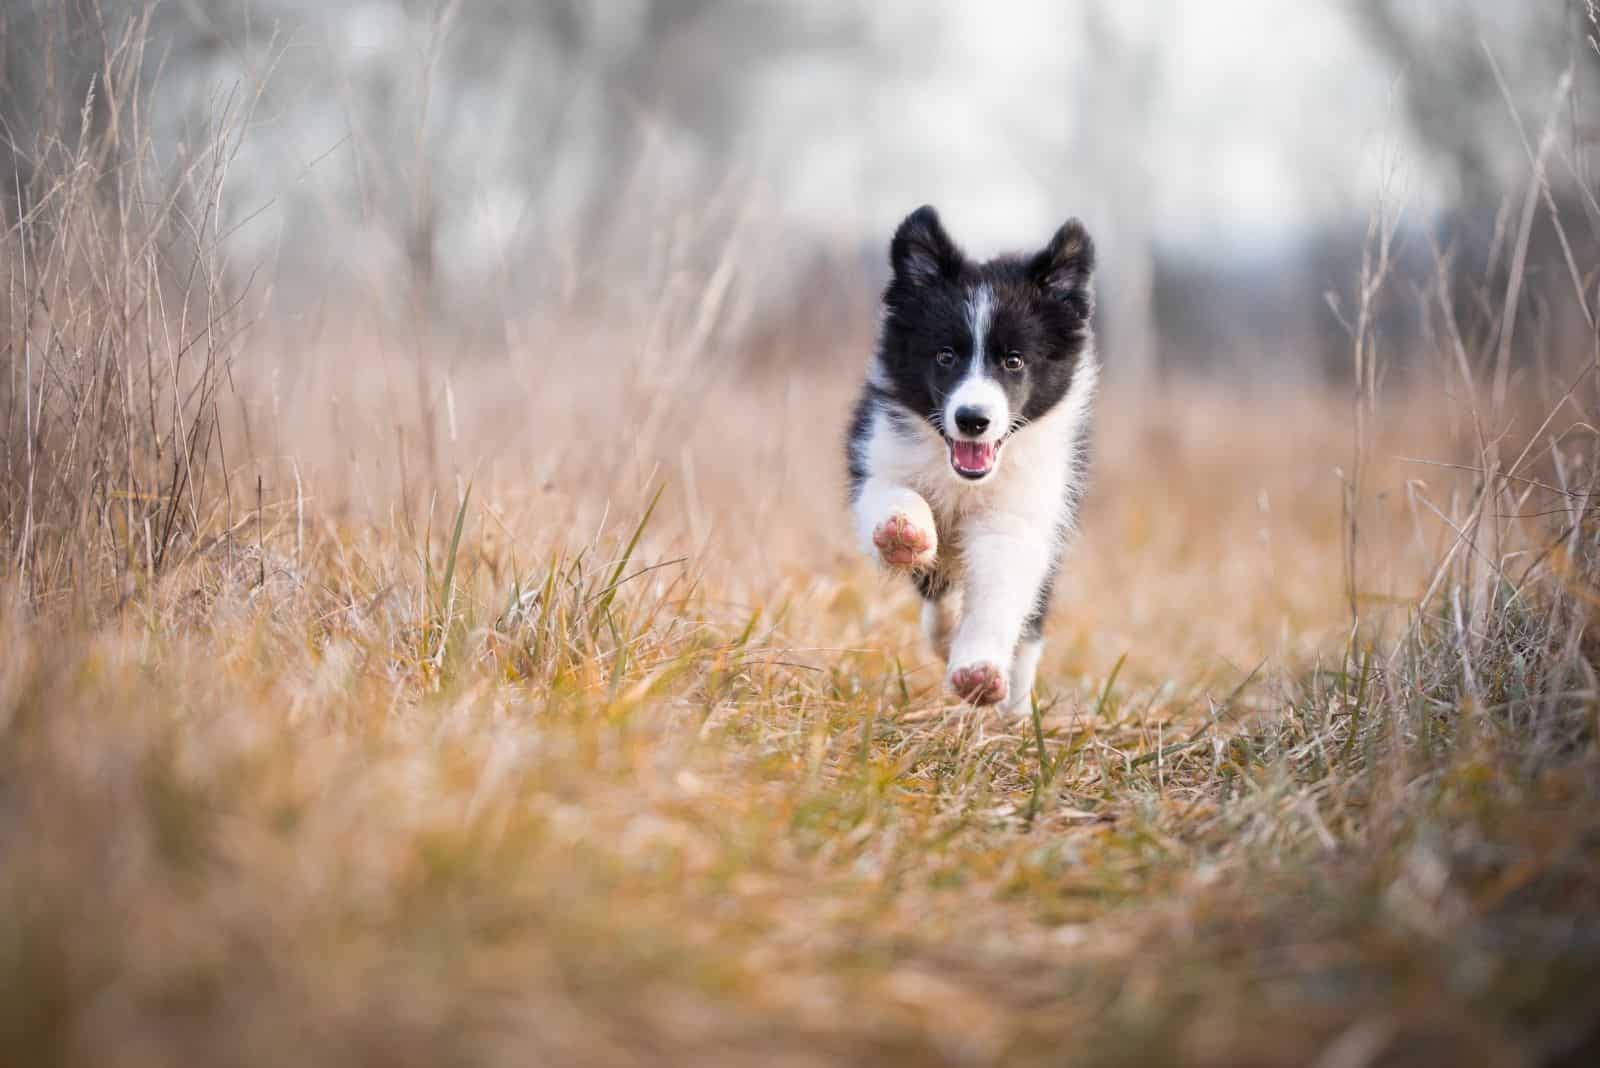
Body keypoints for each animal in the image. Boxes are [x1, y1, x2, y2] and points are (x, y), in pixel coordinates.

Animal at [844, 206, 1094, 709]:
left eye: (1014, 361)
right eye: (945, 356)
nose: (972, 420)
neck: (963, 478)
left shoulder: (1020, 514)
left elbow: (1000, 588)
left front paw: (980, 669)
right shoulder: (879, 450)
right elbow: (891, 491)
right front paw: (902, 531)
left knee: (1029, 621)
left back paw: (1014, 704)